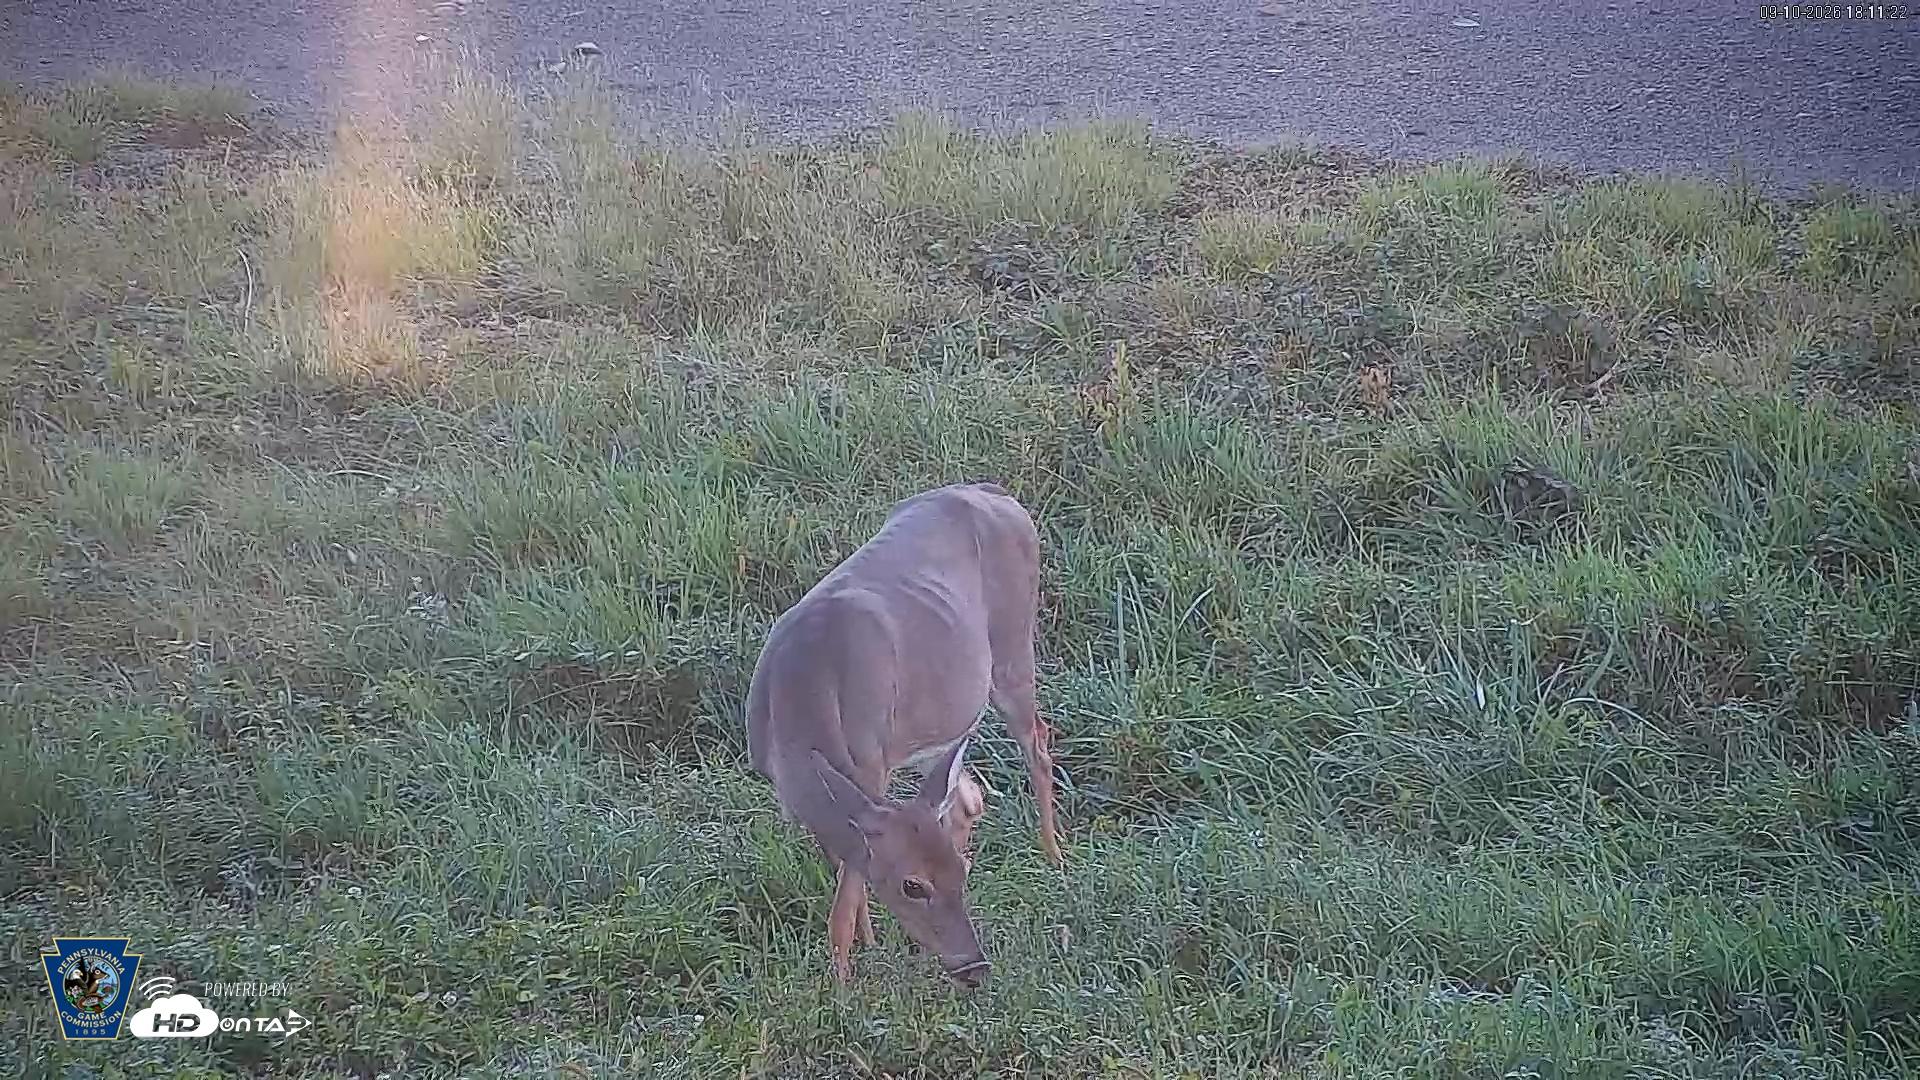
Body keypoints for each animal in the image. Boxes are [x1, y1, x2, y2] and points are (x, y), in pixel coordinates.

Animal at [746, 482, 1064, 988]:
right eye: (914, 885)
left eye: (961, 873)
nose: (975, 970)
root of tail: (995, 494)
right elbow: (852, 874)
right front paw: (867, 946)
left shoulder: (872, 764)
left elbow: (844, 900)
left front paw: (843, 984)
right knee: (966, 796)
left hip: (1013, 647)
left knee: (1037, 740)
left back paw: (1054, 857)